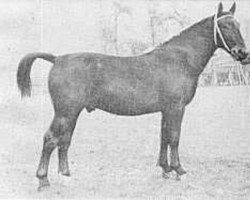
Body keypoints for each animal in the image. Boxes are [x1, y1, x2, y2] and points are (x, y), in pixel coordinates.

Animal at [17, 3, 246, 191]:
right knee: (50, 139)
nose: (243, 53)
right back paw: (43, 180)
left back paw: (65, 175)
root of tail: (57, 59)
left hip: (72, 113)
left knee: (64, 141)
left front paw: (165, 169)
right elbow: (174, 137)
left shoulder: (166, 110)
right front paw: (179, 170)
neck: (179, 59)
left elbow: (164, 136)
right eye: (225, 26)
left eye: (238, 24)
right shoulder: (176, 108)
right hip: (65, 112)